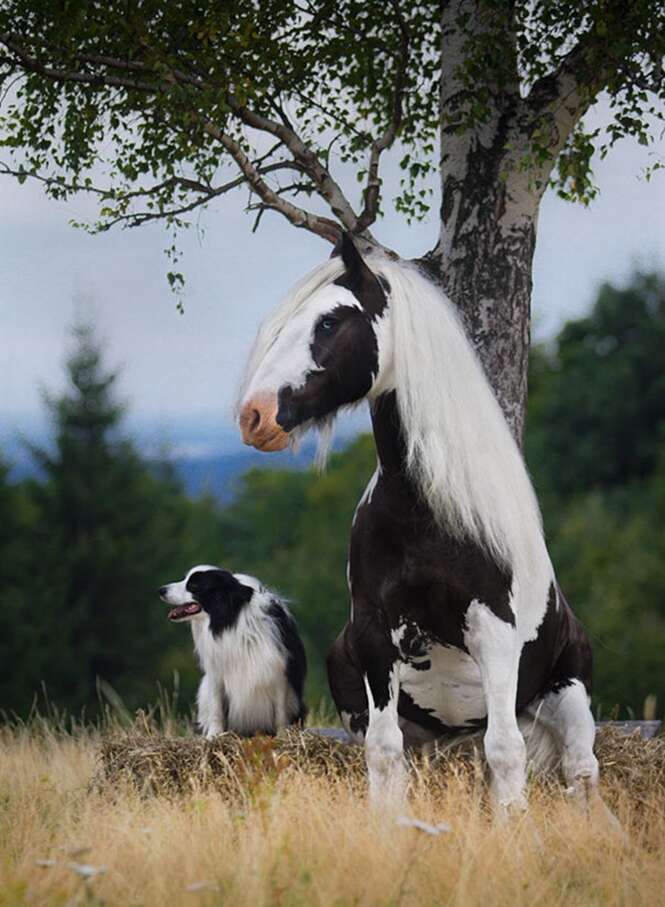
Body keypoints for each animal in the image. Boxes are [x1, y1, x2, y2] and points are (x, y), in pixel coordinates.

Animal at [237, 234, 596, 816]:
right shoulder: (373, 634)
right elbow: (384, 753)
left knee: (581, 771)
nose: (254, 416)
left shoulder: (494, 631)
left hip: (570, 695)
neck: (425, 513)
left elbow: (506, 751)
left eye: (329, 322)